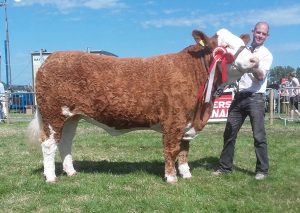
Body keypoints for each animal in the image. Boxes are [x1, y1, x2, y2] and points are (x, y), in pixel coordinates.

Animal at [27, 27, 254, 183]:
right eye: (224, 47)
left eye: (241, 43)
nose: (253, 60)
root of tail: (51, 59)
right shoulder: (174, 120)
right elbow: (172, 149)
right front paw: (171, 178)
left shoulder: (186, 121)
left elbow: (184, 150)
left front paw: (186, 174)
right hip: (53, 114)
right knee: (49, 144)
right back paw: (51, 177)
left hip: (72, 117)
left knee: (65, 142)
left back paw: (71, 172)